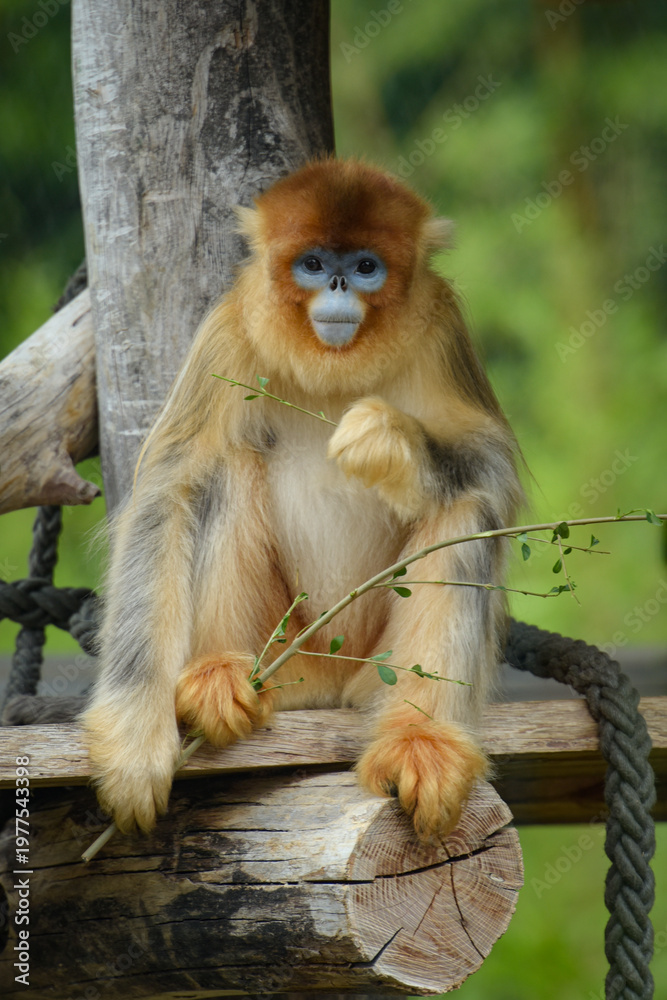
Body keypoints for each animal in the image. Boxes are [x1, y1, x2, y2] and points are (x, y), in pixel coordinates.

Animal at [83, 158, 523, 841]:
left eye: (366, 266)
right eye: (313, 263)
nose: (339, 282)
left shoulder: (442, 327)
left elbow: (492, 468)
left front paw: (387, 441)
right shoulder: (229, 331)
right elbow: (169, 492)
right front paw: (135, 741)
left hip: (373, 669)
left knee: (465, 508)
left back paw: (421, 739)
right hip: (287, 653)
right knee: (226, 470)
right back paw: (218, 678)